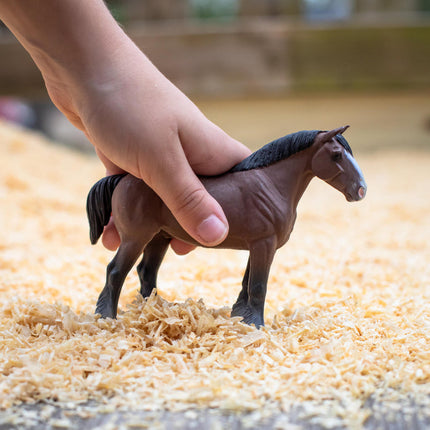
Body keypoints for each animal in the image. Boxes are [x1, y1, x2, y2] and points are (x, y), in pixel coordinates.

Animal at [86, 126, 366, 328]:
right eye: (336, 155)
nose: (361, 190)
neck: (271, 184)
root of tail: (122, 179)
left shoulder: (261, 246)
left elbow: (246, 283)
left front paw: (240, 316)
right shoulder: (264, 245)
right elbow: (258, 286)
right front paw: (256, 325)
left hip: (158, 238)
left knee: (146, 272)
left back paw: (152, 311)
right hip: (136, 238)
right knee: (115, 271)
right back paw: (108, 318)